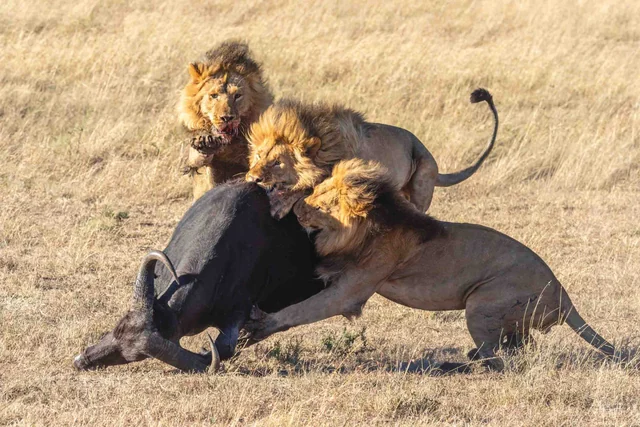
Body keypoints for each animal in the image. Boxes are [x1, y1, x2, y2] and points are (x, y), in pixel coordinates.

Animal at [179, 40, 273, 200]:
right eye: (214, 95)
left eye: (237, 96)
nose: (227, 118)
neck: (228, 144)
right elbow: (196, 159)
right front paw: (205, 143)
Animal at [245, 88, 498, 218]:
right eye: (258, 156)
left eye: (277, 162)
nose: (252, 178)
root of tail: (433, 161)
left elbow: (304, 190)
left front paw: (280, 204)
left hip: (421, 182)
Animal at [245, 159, 618, 371]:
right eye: (316, 192)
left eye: (324, 202)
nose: (298, 209)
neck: (372, 225)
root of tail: (564, 294)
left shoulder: (354, 288)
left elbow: (303, 310)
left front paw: (261, 325)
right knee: (519, 349)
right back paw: (469, 356)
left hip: (481, 303)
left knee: (501, 361)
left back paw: (458, 364)